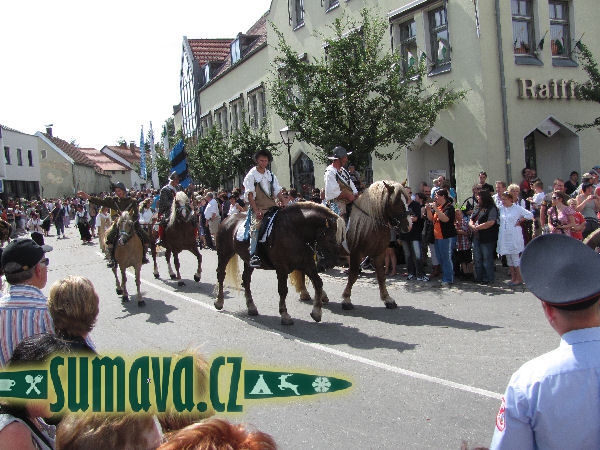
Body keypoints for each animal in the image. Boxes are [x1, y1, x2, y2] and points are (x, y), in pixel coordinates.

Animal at [216, 202, 346, 326]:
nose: (330, 264)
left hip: (248, 261)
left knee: (246, 279)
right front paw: (285, 315)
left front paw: (317, 312)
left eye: (341, 239)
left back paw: (251, 307)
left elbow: (318, 283)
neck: (295, 231)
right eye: (331, 240)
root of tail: (228, 219)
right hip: (224, 254)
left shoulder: (307, 264)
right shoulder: (282, 268)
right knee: (221, 275)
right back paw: (219, 302)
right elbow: (283, 290)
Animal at [340, 179, 410, 310]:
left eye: (407, 200)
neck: (370, 224)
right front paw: (346, 299)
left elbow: (381, 276)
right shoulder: (356, 254)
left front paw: (387, 298)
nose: (409, 225)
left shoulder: (379, 253)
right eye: (397, 202)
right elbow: (353, 275)